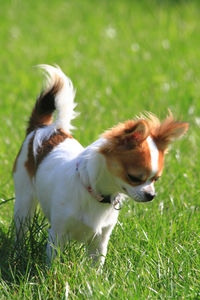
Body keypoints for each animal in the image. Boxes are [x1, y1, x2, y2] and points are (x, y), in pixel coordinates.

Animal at [12, 65, 189, 264]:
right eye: (134, 177)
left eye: (156, 179)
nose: (151, 195)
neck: (97, 193)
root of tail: (46, 128)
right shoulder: (58, 234)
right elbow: (54, 261)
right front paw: (53, 272)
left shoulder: (100, 240)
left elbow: (95, 265)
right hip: (24, 199)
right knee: (21, 227)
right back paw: (18, 252)